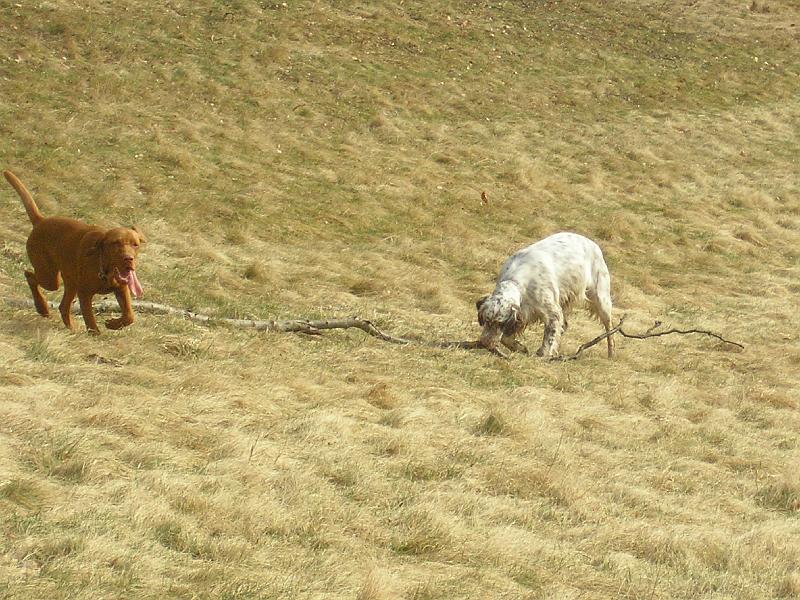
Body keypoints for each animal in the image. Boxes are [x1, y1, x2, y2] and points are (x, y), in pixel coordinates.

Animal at [5, 170, 145, 332]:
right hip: (50, 278)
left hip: (69, 281)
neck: (103, 267)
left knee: (63, 306)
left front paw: (113, 324)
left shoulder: (122, 288)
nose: (129, 259)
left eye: (135, 245)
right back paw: (43, 308)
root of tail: (41, 221)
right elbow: (91, 322)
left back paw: (69, 326)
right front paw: (97, 333)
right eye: (115, 243)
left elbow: (129, 316)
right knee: (30, 275)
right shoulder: (84, 293)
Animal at [478, 232, 616, 358]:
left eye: (500, 323)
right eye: (485, 320)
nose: (485, 343)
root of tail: (592, 243)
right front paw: (520, 347)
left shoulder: (552, 313)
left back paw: (611, 354)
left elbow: (550, 337)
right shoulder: (523, 313)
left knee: (609, 329)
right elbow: (505, 338)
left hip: (601, 300)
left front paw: (543, 354)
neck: (517, 282)